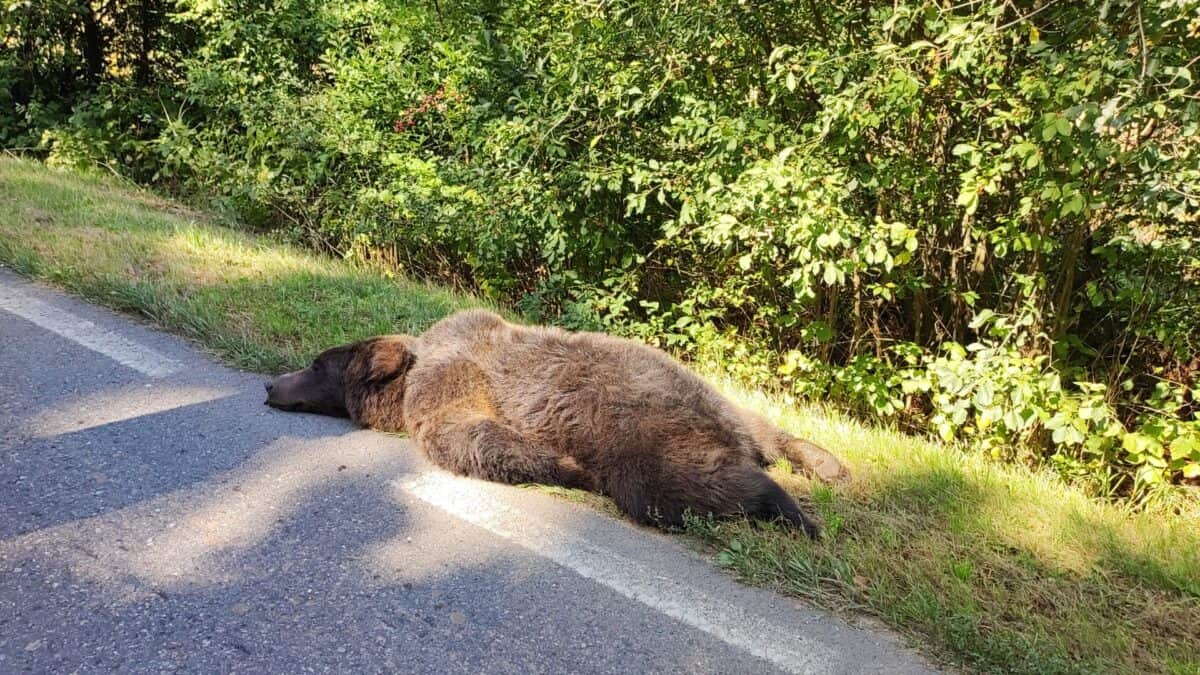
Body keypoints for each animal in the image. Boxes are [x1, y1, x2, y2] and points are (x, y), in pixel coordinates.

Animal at [265, 309, 844, 535]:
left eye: (316, 364)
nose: (270, 384)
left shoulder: (452, 379)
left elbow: (464, 433)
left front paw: (569, 467)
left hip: (649, 434)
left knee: (677, 485)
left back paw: (795, 511)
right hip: (717, 401)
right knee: (766, 428)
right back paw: (826, 465)